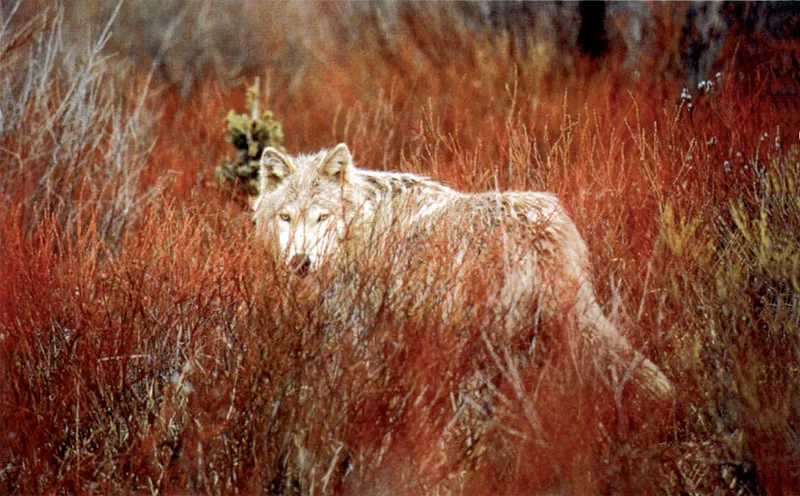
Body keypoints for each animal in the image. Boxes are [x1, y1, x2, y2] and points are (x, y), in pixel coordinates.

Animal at [253, 142, 672, 400]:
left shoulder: (361, 328)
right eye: (286, 218)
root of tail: (545, 233)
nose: (300, 261)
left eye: (322, 217)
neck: (365, 223)